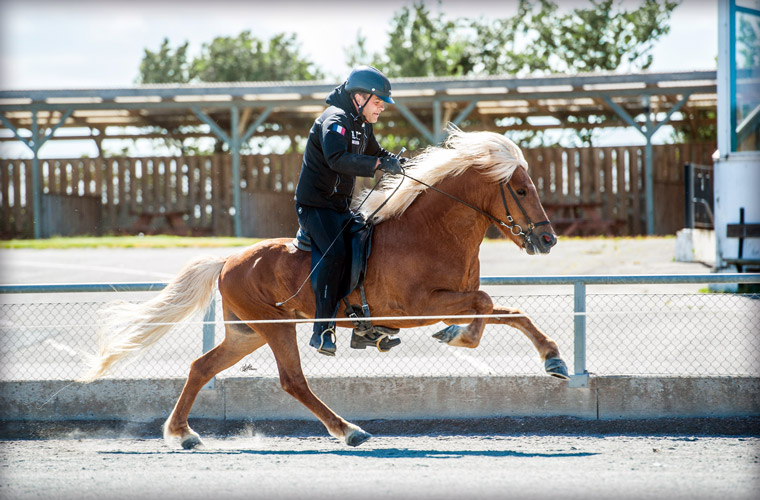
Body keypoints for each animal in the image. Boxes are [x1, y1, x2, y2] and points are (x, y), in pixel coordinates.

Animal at [80, 128, 568, 450]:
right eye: (521, 190)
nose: (548, 240)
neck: (429, 232)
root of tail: (229, 260)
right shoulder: (413, 308)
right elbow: (485, 304)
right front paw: (461, 337)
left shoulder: (449, 301)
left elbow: (507, 311)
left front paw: (552, 359)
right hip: (276, 328)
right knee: (292, 380)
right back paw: (348, 430)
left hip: (247, 333)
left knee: (201, 367)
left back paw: (182, 434)